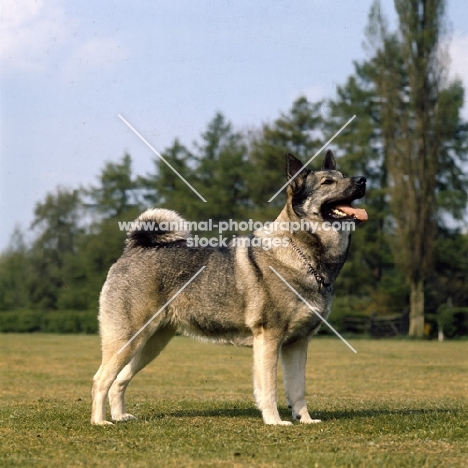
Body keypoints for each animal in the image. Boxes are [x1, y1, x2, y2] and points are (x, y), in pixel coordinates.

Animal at [91, 150, 368, 424]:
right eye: (327, 182)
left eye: (343, 175)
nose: (362, 180)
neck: (301, 253)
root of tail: (133, 248)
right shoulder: (269, 338)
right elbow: (269, 387)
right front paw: (275, 421)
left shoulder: (298, 344)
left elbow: (297, 389)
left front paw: (305, 420)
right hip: (126, 340)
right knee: (101, 379)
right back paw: (100, 421)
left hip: (151, 344)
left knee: (120, 379)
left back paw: (120, 416)